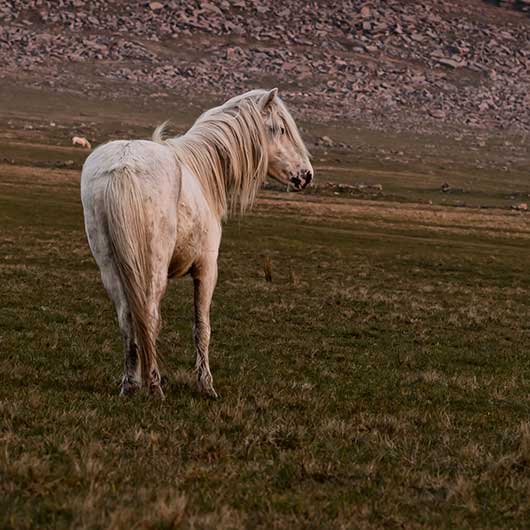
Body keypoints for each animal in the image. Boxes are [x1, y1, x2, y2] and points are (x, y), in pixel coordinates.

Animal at [78, 89, 310, 396]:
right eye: (281, 129)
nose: (306, 175)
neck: (202, 172)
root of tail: (124, 165)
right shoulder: (207, 270)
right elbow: (202, 328)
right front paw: (206, 385)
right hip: (153, 269)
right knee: (149, 316)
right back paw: (154, 386)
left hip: (110, 268)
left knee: (128, 320)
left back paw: (130, 384)